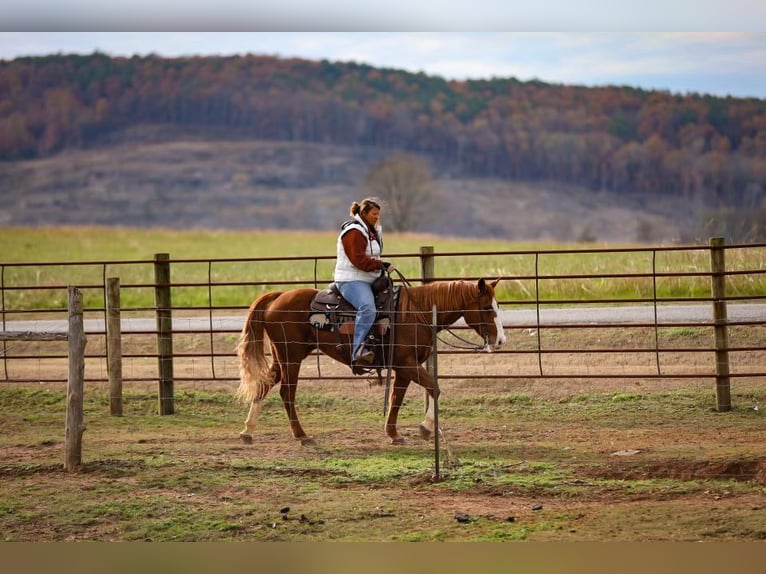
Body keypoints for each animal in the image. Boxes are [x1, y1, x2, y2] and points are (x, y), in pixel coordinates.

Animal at [237, 280, 508, 446]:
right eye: (487, 307)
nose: (500, 340)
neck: (415, 314)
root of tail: (278, 296)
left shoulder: (403, 368)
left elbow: (396, 398)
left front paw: (394, 434)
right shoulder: (407, 364)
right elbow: (435, 388)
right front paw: (425, 428)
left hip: (282, 357)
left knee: (264, 385)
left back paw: (248, 431)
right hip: (291, 358)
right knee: (287, 393)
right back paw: (303, 436)